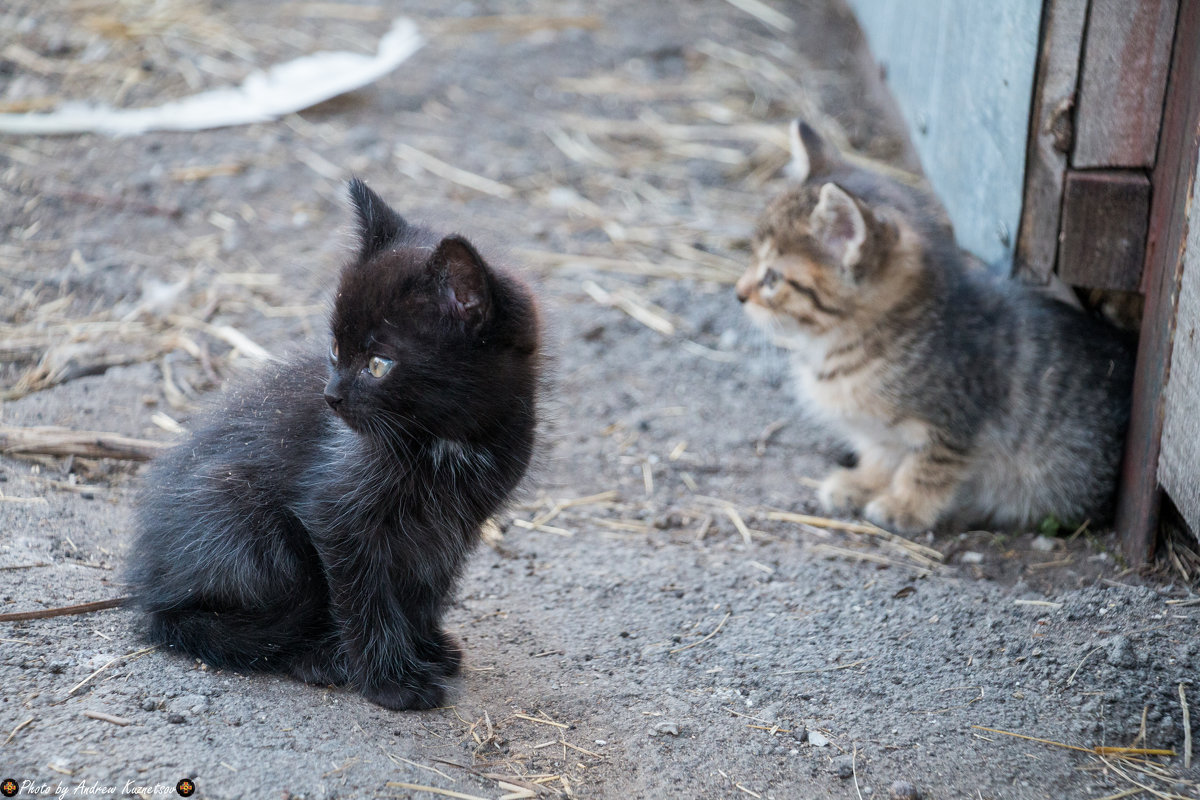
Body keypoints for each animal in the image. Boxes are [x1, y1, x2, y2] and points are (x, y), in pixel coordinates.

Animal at [127, 178, 540, 710]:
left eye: (379, 364)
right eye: (336, 349)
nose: (332, 396)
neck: (445, 438)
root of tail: (147, 582)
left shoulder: (454, 525)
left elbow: (426, 585)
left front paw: (423, 645)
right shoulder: (337, 516)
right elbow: (365, 598)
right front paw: (392, 680)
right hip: (250, 528)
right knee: (211, 623)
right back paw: (317, 656)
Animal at [734, 122, 1137, 534]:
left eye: (772, 278)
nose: (738, 293)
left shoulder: (955, 426)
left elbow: (928, 470)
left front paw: (904, 506)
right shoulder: (880, 431)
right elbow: (879, 454)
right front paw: (863, 483)